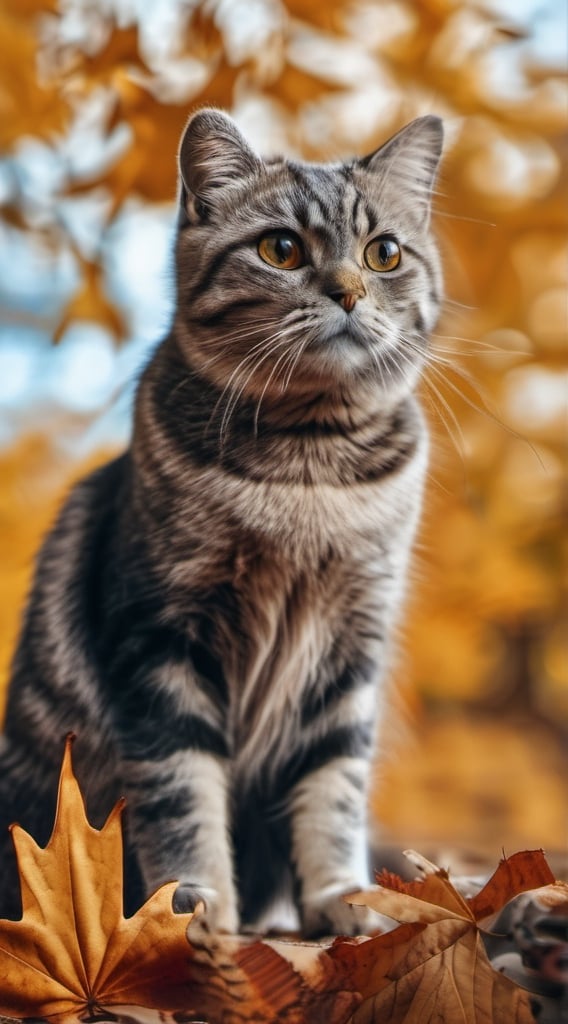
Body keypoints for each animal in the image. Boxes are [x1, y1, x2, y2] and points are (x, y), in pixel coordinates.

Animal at [0, 110, 444, 937]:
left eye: (385, 252)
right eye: (282, 249)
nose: (349, 292)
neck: (309, 467)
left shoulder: (350, 652)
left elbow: (332, 794)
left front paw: (344, 899)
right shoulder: (161, 639)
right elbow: (181, 793)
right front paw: (193, 912)